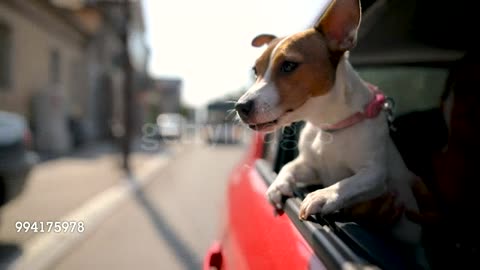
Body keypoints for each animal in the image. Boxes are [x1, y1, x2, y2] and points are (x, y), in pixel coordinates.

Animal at [234, 0, 422, 247]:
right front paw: (278, 185)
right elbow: (288, 166)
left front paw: (323, 195)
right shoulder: (311, 167)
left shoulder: (375, 174)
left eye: (288, 65)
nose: (241, 107)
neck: (329, 127)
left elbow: (350, 183)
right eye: (255, 70)